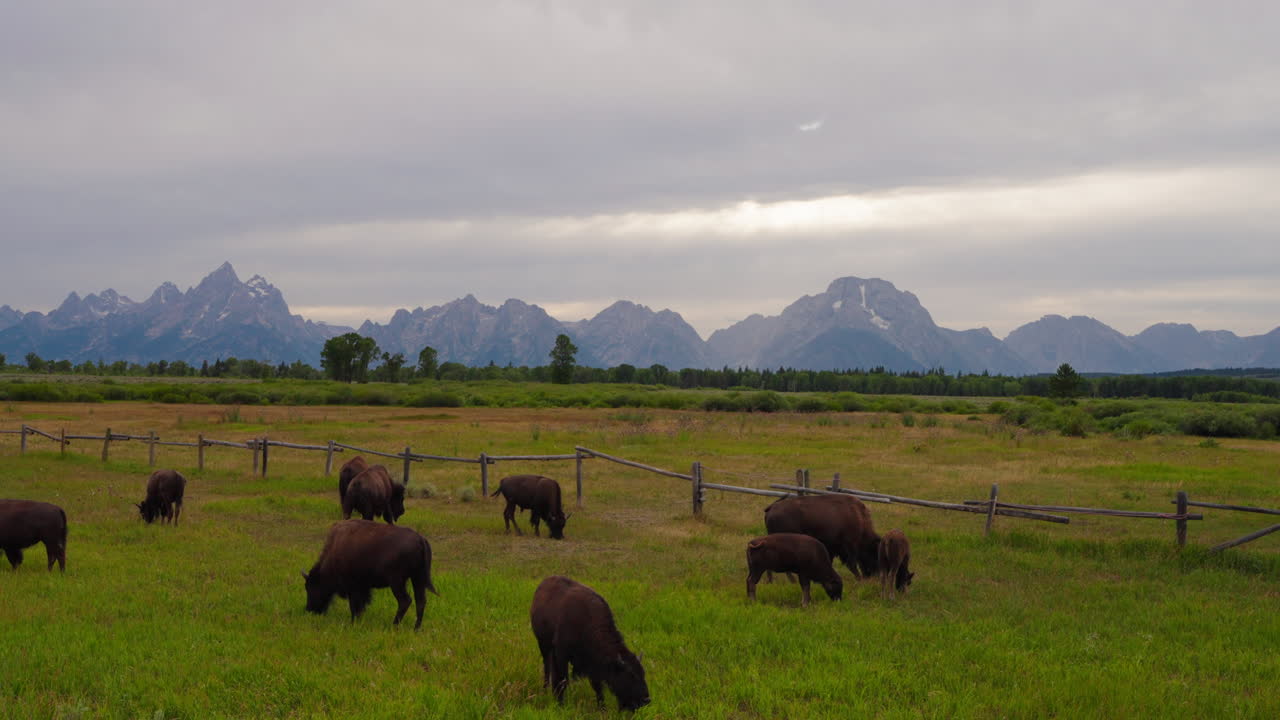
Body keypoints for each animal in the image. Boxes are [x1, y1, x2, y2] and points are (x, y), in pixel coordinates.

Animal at [302, 519, 437, 628]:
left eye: (312, 587)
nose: (309, 609)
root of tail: (420, 539)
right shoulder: (362, 588)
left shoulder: (354, 588)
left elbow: (354, 606)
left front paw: (353, 623)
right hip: (417, 579)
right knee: (420, 601)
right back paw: (416, 628)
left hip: (397, 582)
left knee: (405, 601)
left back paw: (394, 626)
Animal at [530, 575, 650, 711]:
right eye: (631, 676)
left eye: (643, 673)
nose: (646, 699)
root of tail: (543, 584)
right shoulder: (561, 655)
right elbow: (562, 679)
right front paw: (560, 703)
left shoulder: (593, 664)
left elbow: (597, 687)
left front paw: (602, 708)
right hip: (543, 645)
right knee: (547, 667)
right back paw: (545, 689)